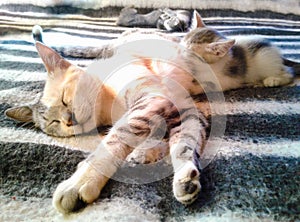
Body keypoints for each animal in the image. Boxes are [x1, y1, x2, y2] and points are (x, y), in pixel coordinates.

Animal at [5, 31, 213, 213]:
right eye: (53, 123)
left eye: (64, 98)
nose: (68, 120)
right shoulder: (182, 109)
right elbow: (183, 141)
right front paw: (183, 177)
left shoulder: (162, 100)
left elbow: (117, 140)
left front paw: (80, 181)